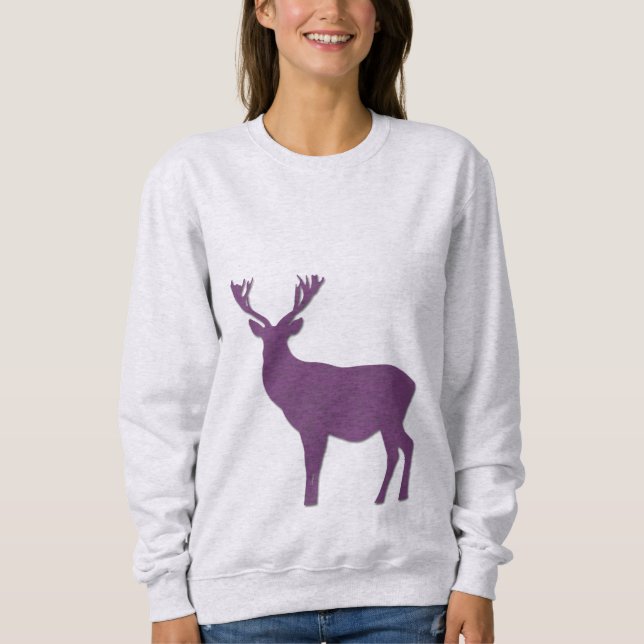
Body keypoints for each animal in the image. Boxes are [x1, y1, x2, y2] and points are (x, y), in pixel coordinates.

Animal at [230, 274, 416, 506]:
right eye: (264, 337)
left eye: (283, 336)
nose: (271, 356)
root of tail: (412, 383)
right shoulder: (314, 428)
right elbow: (313, 463)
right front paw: (311, 499)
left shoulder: (313, 424)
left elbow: (312, 464)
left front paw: (309, 501)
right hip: (387, 422)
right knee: (397, 451)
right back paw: (386, 496)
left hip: (391, 417)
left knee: (405, 446)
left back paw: (396, 494)